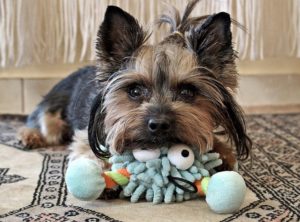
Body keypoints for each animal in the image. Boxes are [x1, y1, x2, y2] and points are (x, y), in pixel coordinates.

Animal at [19, 0, 251, 172]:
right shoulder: (86, 137)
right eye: (135, 91)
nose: (159, 124)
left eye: (187, 92)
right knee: (41, 124)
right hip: (53, 112)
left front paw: (224, 154)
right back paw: (29, 137)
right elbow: (89, 152)